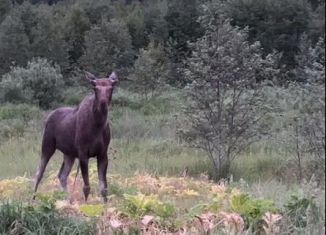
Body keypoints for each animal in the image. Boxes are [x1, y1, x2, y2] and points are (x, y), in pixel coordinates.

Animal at [32, 70, 117, 203]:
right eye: (95, 88)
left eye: (111, 87)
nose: (103, 103)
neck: (97, 125)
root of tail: (49, 116)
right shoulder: (83, 153)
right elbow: (86, 187)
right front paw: (85, 205)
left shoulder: (103, 154)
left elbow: (104, 188)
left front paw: (105, 205)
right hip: (47, 146)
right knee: (39, 173)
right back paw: (33, 198)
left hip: (69, 154)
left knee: (62, 175)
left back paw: (67, 200)